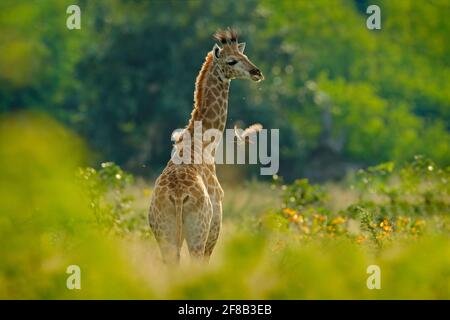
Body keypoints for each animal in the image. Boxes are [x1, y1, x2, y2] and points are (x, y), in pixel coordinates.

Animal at [148, 27, 264, 264]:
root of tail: (177, 195)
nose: (257, 72)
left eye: (244, 55)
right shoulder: (215, 226)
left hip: (165, 235)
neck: (204, 143)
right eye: (231, 61)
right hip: (198, 235)